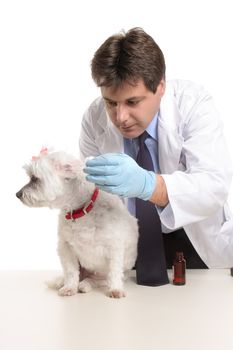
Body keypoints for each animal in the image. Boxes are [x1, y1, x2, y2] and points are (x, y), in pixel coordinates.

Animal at [16, 148, 138, 298]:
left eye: (34, 178)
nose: (17, 194)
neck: (81, 210)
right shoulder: (66, 247)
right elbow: (70, 272)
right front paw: (69, 287)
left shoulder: (114, 247)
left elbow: (114, 272)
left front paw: (115, 289)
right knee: (79, 276)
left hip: (104, 274)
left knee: (97, 280)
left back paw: (85, 285)